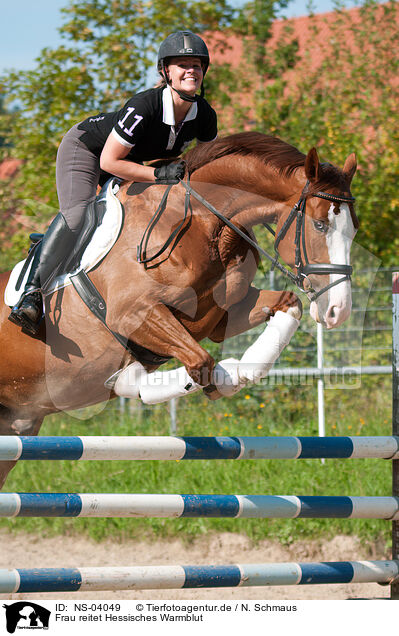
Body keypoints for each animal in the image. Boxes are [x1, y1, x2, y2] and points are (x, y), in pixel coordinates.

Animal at [0, 133, 360, 486]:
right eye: (319, 225)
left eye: (353, 228)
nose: (338, 310)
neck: (203, 224)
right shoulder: (133, 313)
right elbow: (201, 362)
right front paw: (225, 377)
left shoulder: (220, 316)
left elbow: (287, 305)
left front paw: (241, 372)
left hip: (16, 428)